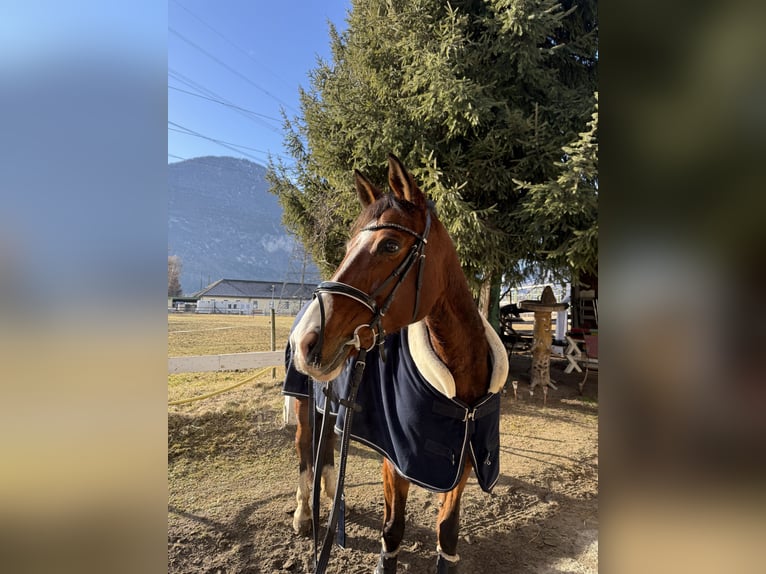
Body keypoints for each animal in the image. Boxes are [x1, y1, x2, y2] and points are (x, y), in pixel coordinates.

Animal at [284, 154, 508, 573]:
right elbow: (392, 531)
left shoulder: (463, 463)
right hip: (306, 406)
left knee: (326, 450)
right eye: (348, 245)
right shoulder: (394, 463)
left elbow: (448, 532)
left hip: (330, 406)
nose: (306, 342)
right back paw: (305, 515)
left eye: (389, 244)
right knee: (306, 453)